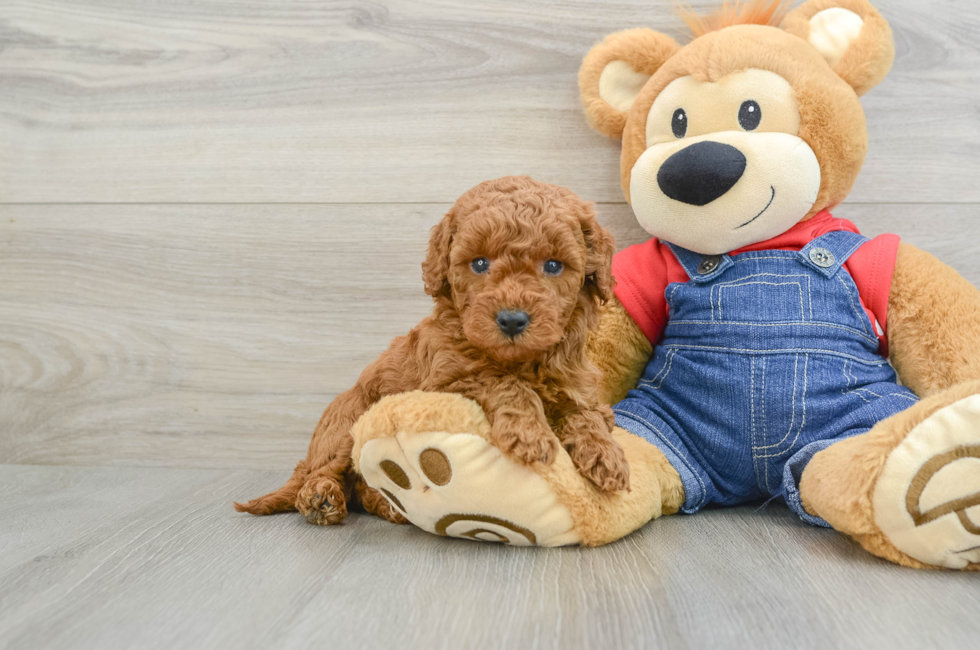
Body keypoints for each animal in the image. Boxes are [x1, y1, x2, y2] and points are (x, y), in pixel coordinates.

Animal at [235, 175, 628, 524]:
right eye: (479, 263)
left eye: (553, 265)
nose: (512, 320)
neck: (521, 361)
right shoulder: (445, 380)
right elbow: (503, 383)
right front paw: (531, 435)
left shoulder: (579, 386)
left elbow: (587, 415)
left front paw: (606, 455)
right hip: (347, 423)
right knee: (327, 471)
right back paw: (321, 498)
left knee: (360, 485)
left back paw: (387, 507)